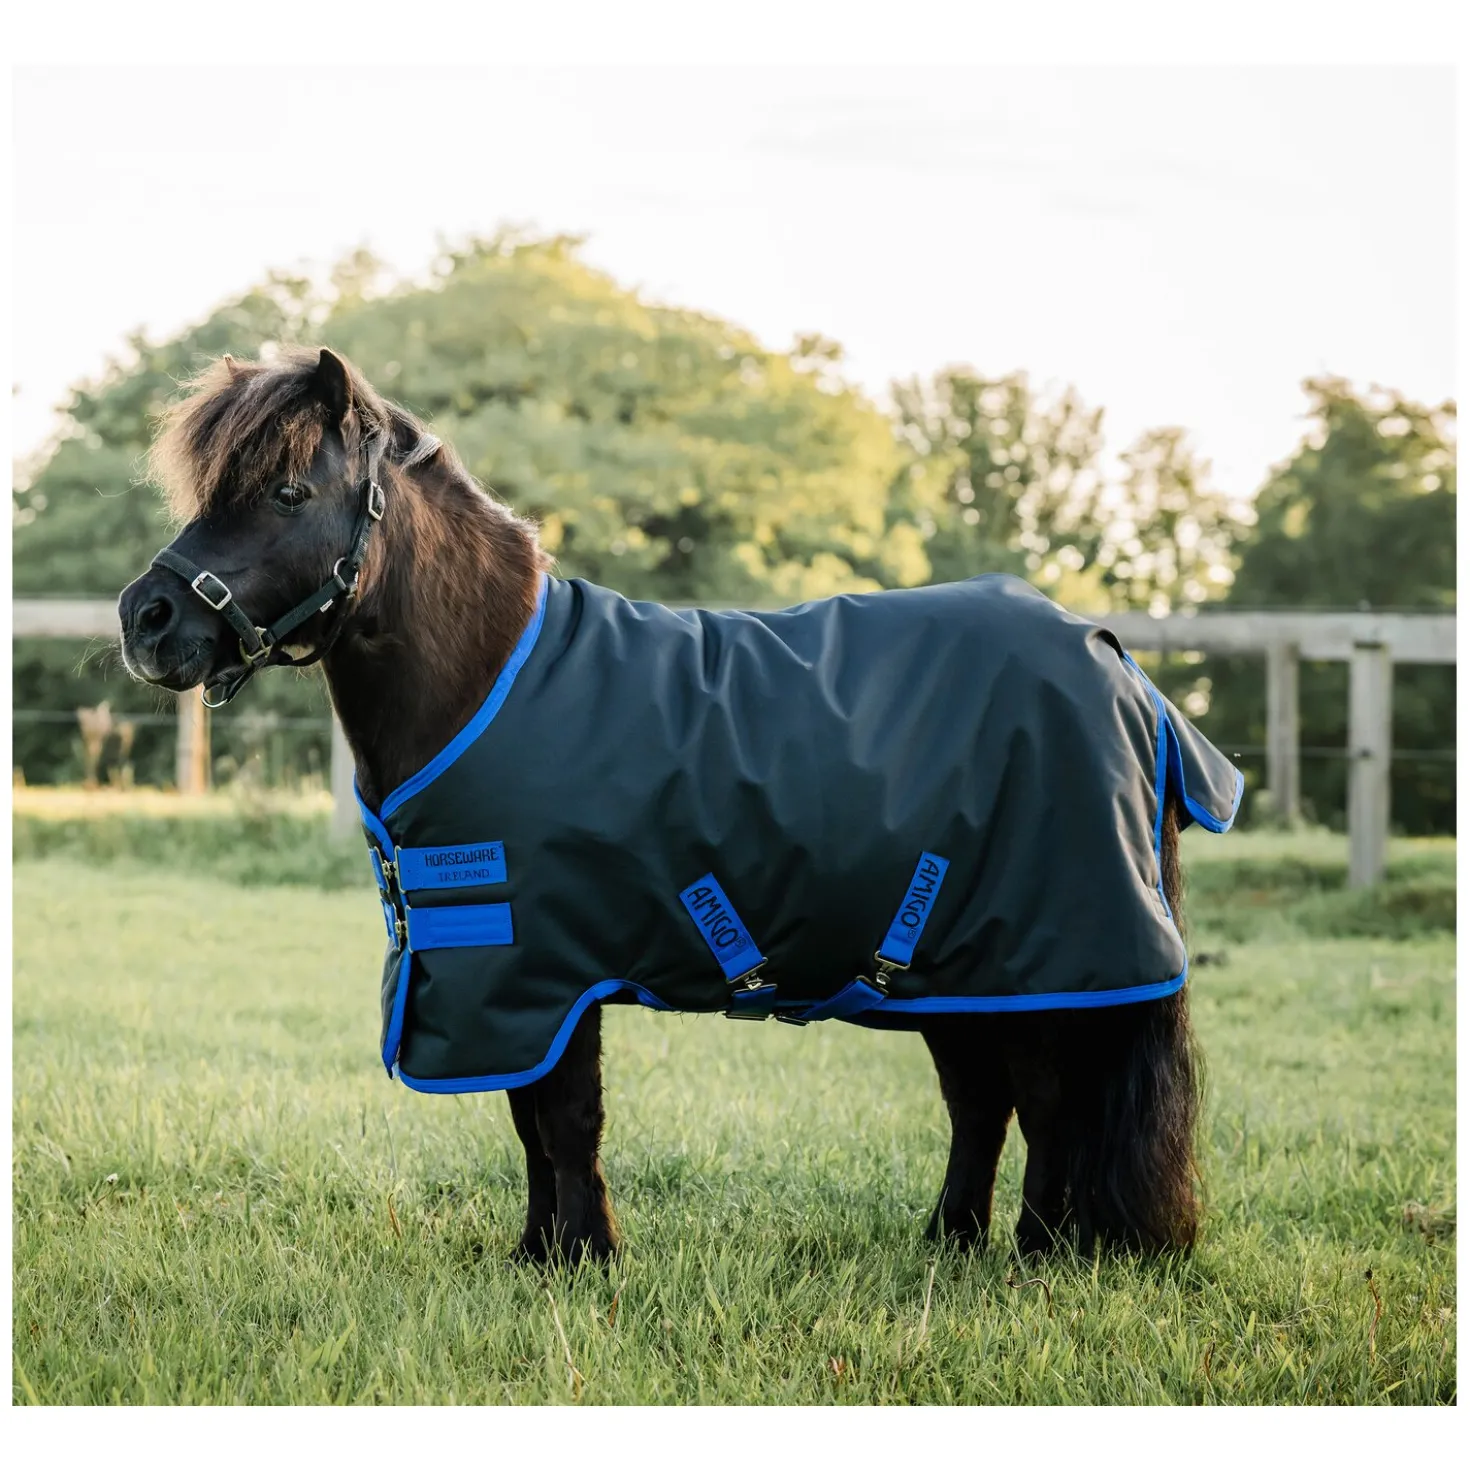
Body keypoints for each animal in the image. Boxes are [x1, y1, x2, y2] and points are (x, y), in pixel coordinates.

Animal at [118, 346, 1207, 1266]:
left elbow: (565, 1117)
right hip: (955, 967)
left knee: (1045, 1100)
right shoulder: (513, 978)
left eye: (288, 490)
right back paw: (951, 1241)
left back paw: (1036, 1251)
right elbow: (530, 1118)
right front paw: (539, 1252)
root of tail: (1113, 660)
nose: (146, 619)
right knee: (982, 1101)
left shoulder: (544, 967)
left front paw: (585, 1254)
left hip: (1035, 960)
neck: (490, 680)